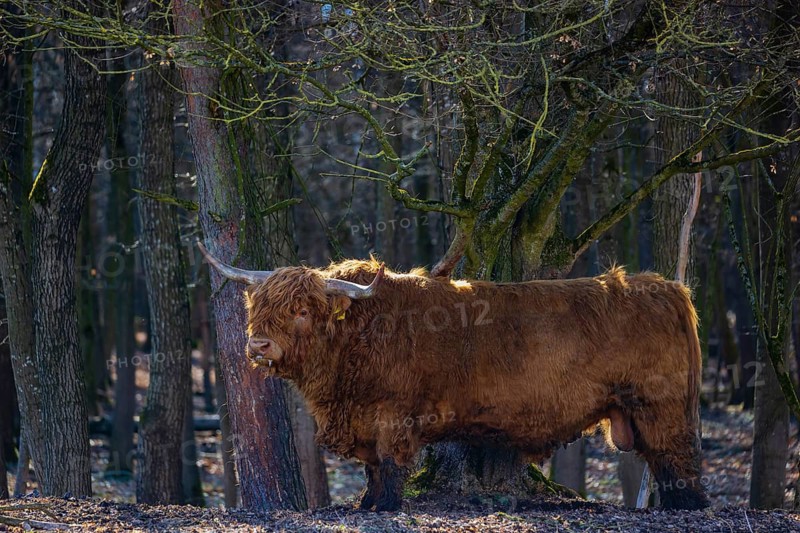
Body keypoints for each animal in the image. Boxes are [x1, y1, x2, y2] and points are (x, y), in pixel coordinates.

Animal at [198, 242, 708, 512]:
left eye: (302, 311)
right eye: (258, 307)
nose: (258, 347)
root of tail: (667, 288)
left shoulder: (393, 415)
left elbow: (388, 465)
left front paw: (384, 506)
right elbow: (371, 467)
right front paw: (367, 503)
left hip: (659, 406)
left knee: (677, 459)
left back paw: (688, 508)